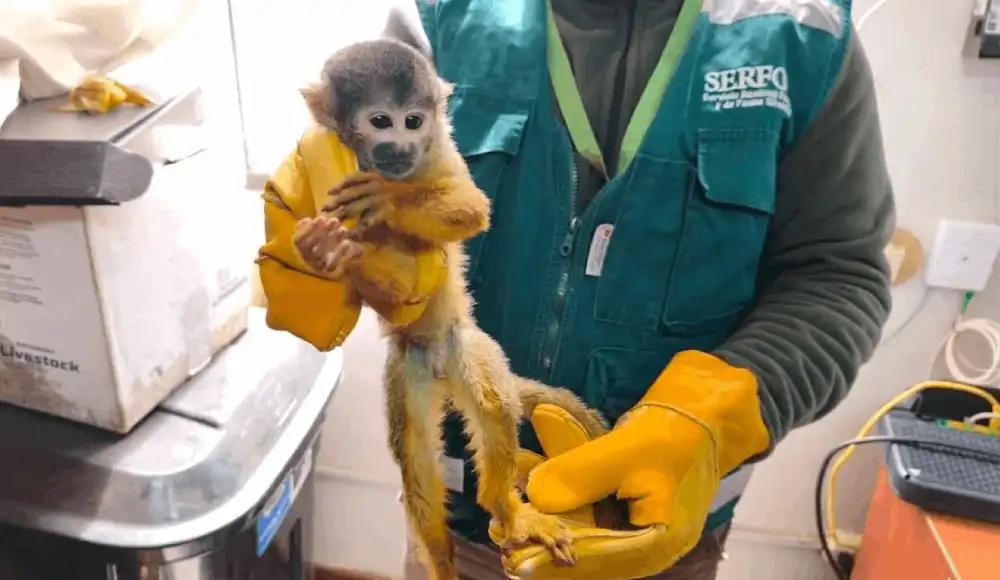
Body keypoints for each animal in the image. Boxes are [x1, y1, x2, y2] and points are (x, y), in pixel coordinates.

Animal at [291, 34, 616, 580]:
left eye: (413, 121)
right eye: (381, 121)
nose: (401, 147)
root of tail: (438, 365)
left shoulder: (439, 150)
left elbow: (471, 208)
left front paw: (386, 200)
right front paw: (321, 251)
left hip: (467, 346)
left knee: (494, 406)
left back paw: (505, 509)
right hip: (408, 372)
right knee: (417, 463)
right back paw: (442, 558)